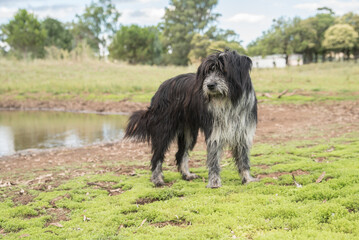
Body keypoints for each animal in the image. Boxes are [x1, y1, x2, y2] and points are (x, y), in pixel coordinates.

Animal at [126, 50, 258, 188]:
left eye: (223, 70)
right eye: (208, 72)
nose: (210, 85)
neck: (229, 100)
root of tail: (162, 87)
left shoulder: (243, 133)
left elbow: (244, 159)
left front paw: (248, 179)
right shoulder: (215, 132)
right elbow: (214, 160)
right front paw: (214, 182)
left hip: (188, 132)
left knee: (180, 154)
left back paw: (187, 175)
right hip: (163, 129)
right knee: (157, 156)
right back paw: (157, 179)